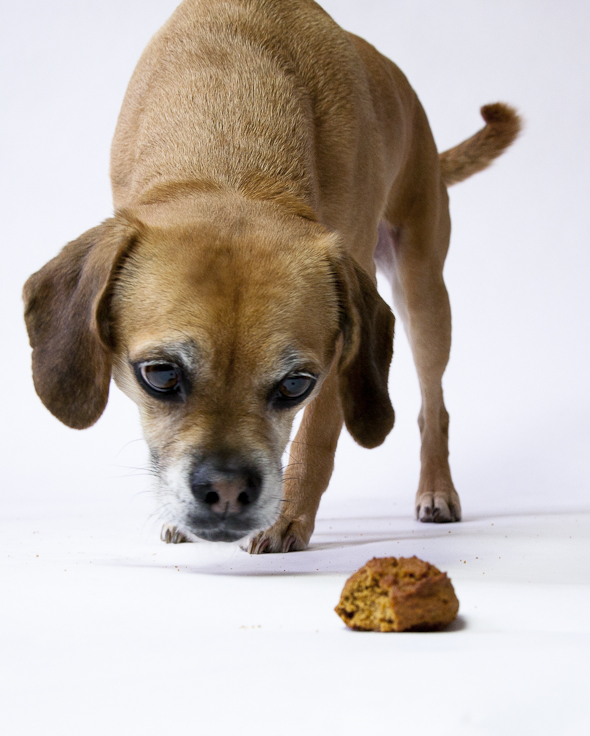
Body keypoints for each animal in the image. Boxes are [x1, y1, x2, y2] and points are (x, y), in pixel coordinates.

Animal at [23, 0, 524, 552]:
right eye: (160, 375)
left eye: (296, 385)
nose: (226, 489)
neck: (230, 151)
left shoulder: (343, 344)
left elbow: (318, 436)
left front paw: (289, 518)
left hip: (423, 296)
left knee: (434, 405)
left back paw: (436, 488)